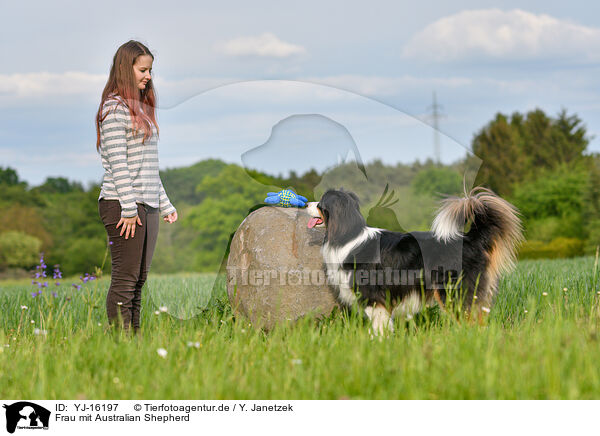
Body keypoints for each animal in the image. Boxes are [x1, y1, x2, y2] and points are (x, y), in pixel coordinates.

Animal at [308, 186, 524, 334]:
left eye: (320, 204)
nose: (306, 203)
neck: (348, 235)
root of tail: (470, 239)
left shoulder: (374, 298)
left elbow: (378, 326)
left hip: (453, 292)